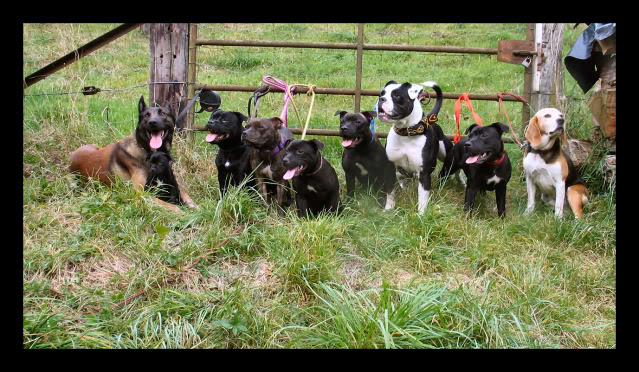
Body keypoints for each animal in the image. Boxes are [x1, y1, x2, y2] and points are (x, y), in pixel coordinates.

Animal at [378, 81, 452, 215]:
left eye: (396, 95)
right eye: (382, 93)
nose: (381, 99)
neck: (406, 133)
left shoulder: (424, 173)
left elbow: (422, 198)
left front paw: (421, 215)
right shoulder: (390, 167)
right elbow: (390, 191)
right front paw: (388, 208)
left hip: (445, 150)